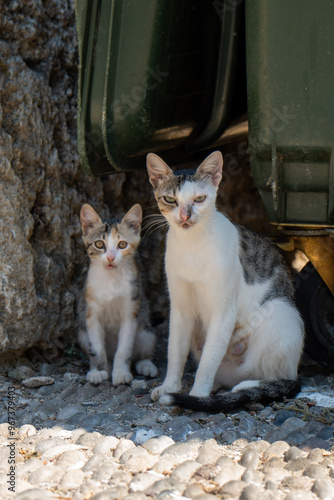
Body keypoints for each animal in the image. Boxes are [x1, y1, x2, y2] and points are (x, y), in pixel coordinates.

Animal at [78, 203, 158, 386]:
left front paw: (121, 373)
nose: (110, 257)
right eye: (99, 244)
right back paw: (106, 366)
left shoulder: (131, 311)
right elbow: (96, 348)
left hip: (145, 329)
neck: (111, 279)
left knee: (142, 349)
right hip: (82, 334)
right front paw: (98, 371)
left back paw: (146, 364)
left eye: (122, 244)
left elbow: (124, 349)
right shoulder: (91, 313)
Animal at [146, 151, 306, 410]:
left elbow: (208, 362)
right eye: (170, 200)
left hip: (280, 310)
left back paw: (242, 389)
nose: (185, 216)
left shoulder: (223, 312)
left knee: (276, 377)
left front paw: (198, 395)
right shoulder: (179, 308)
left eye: (199, 198)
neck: (192, 245)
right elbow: (175, 352)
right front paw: (170, 387)